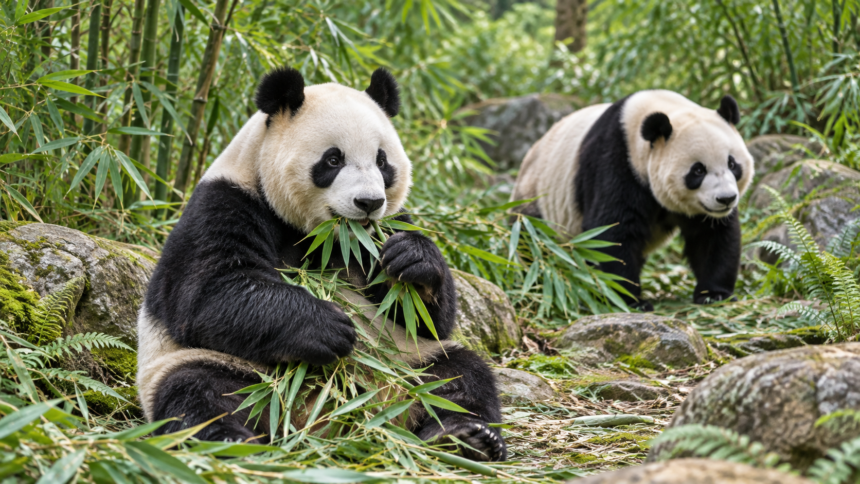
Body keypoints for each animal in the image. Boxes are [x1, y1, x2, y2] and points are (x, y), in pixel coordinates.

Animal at [136, 66, 506, 461]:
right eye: (333, 160)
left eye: (382, 161)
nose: (368, 203)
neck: (328, 237)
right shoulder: (226, 202)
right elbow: (209, 293)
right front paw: (328, 326)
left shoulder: (383, 231)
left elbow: (428, 320)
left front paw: (413, 258)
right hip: (226, 368)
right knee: (199, 392)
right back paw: (229, 441)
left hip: (407, 364)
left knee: (460, 377)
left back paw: (467, 436)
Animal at [511, 90, 754, 310]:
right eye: (698, 170)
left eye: (732, 164)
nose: (726, 199)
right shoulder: (616, 162)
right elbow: (612, 231)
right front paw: (629, 299)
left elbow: (712, 235)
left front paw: (714, 294)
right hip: (536, 200)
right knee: (535, 244)